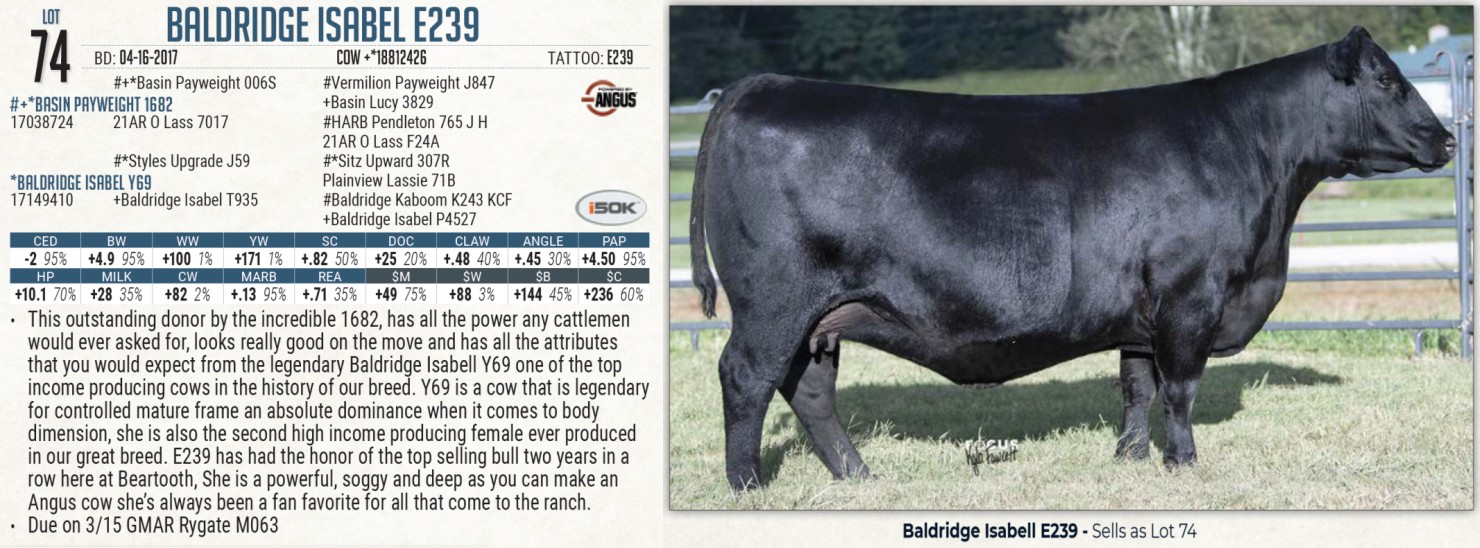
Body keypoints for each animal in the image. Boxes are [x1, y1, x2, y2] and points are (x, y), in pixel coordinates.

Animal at [687, 27, 1456, 490]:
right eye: (1388, 82)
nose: (1447, 139)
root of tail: (759, 85)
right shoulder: (1191, 297)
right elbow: (1180, 390)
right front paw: (1182, 463)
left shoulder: (1144, 312)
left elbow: (1138, 385)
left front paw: (1131, 457)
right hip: (774, 301)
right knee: (746, 378)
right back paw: (748, 484)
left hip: (824, 315)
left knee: (810, 390)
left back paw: (857, 475)